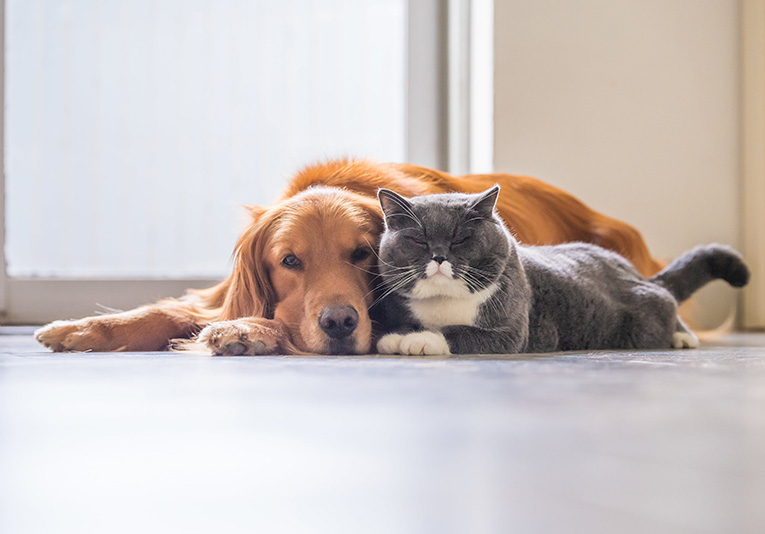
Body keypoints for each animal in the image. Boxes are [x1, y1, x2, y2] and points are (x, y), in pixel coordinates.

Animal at [35, 159, 660, 356]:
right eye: (289, 262)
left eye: (361, 254)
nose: (339, 323)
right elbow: (169, 310)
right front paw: (80, 329)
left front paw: (247, 332)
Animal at [374, 186, 748, 358]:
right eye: (419, 240)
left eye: (461, 239)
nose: (439, 256)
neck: (443, 301)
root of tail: (632, 271)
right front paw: (397, 335)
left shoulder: (510, 332)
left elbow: (456, 332)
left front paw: (415, 340)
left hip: (644, 315)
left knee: (667, 301)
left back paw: (683, 336)